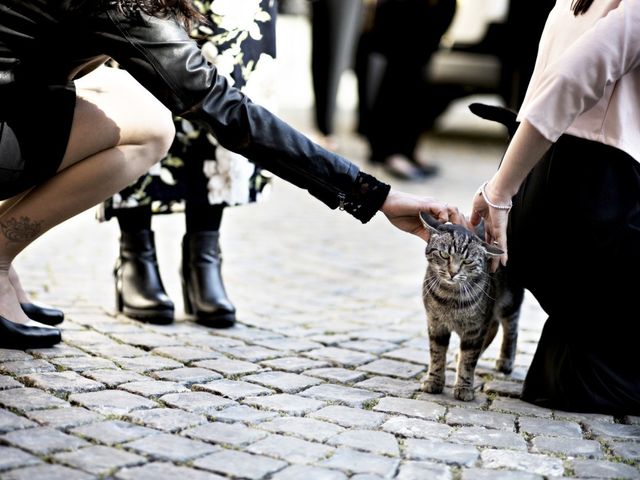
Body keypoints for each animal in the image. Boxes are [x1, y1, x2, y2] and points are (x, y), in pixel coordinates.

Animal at [420, 212, 524, 400]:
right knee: (494, 327)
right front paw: (434, 381)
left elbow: (469, 359)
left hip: (508, 302)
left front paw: (464, 387)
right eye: (444, 255)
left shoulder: (475, 329)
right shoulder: (435, 323)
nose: (453, 273)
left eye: (467, 261)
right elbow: (437, 354)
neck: (450, 297)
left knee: (510, 329)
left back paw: (506, 361)